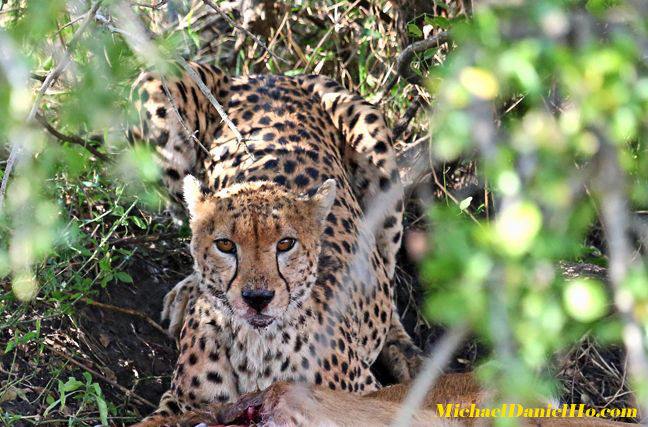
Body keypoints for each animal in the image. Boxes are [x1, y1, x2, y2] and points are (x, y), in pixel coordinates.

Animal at [129, 62, 422, 424]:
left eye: (286, 244)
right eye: (225, 245)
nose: (258, 298)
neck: (256, 347)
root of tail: (263, 76)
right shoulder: (184, 402)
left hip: (375, 146)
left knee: (387, 275)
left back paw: (408, 355)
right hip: (156, 85)